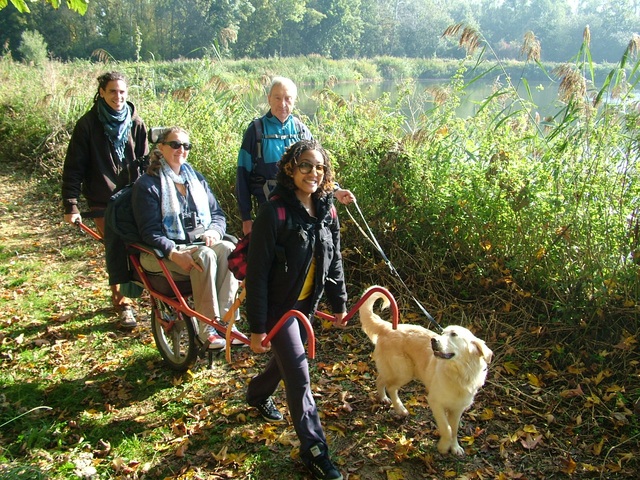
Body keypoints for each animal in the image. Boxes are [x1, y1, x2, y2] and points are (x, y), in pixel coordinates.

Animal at [358, 286, 492, 456]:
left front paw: (455, 447)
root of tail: (389, 327)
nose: (433, 341)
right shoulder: (435, 402)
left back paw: (383, 398)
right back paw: (400, 409)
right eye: (442, 333)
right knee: (391, 387)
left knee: (380, 380)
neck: (459, 374)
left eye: (454, 335)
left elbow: (454, 429)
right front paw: (444, 446)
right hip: (404, 371)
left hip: (394, 370)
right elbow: (447, 429)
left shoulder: (457, 409)